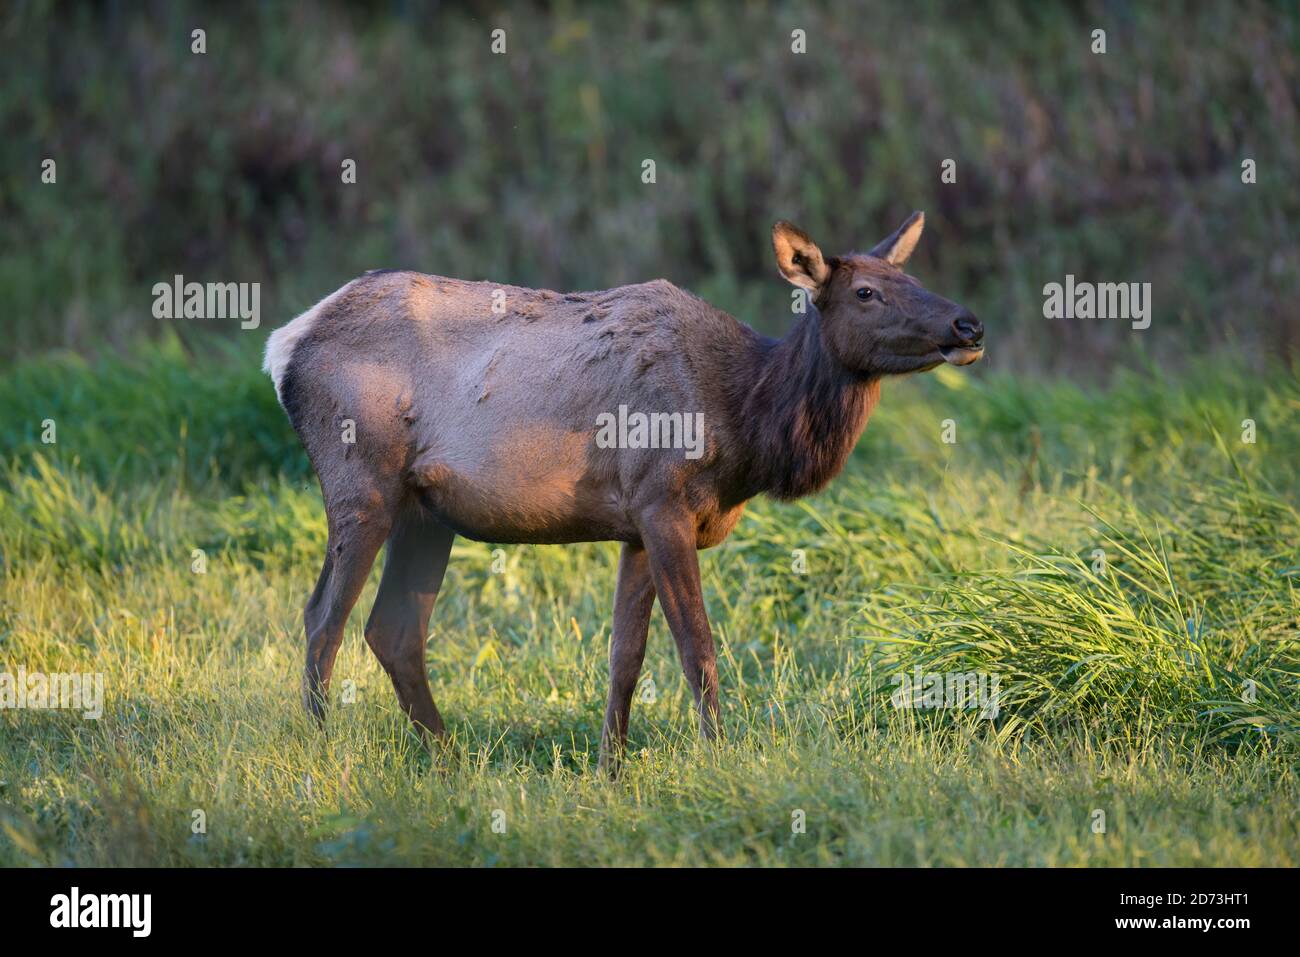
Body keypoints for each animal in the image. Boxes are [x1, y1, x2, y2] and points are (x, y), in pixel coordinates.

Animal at [266, 213, 982, 774]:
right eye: (866, 291)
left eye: (913, 281)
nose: (968, 323)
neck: (746, 428)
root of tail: (282, 347)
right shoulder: (663, 500)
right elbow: (697, 647)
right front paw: (718, 756)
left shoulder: (635, 524)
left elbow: (625, 657)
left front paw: (610, 767)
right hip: (361, 481)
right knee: (322, 618)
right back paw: (324, 750)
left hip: (426, 514)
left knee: (393, 630)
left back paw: (449, 759)